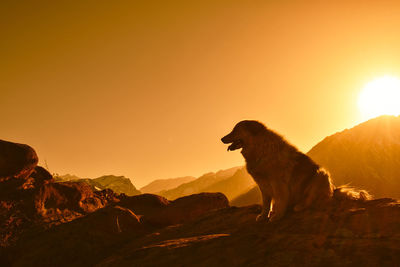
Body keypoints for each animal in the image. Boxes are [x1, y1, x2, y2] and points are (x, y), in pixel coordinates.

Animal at [222, 120, 368, 223]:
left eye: (235, 130)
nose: (221, 138)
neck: (260, 148)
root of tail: (333, 189)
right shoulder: (263, 185)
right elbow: (266, 203)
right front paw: (264, 215)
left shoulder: (277, 182)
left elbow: (280, 199)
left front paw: (277, 215)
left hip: (320, 174)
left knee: (314, 200)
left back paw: (300, 206)